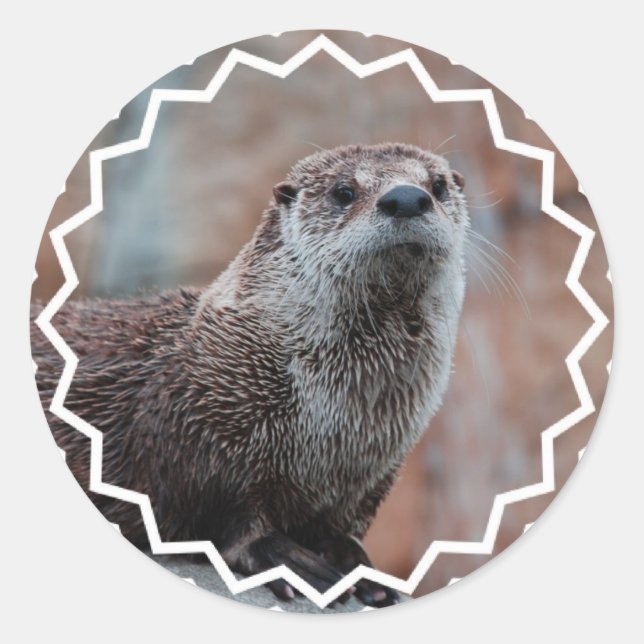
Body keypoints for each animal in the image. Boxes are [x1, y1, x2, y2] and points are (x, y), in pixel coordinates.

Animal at [31, 143, 468, 607]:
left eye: (437, 185)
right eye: (344, 191)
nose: (406, 198)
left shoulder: (373, 469)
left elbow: (341, 525)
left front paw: (358, 565)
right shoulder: (196, 433)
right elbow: (220, 514)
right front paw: (284, 557)